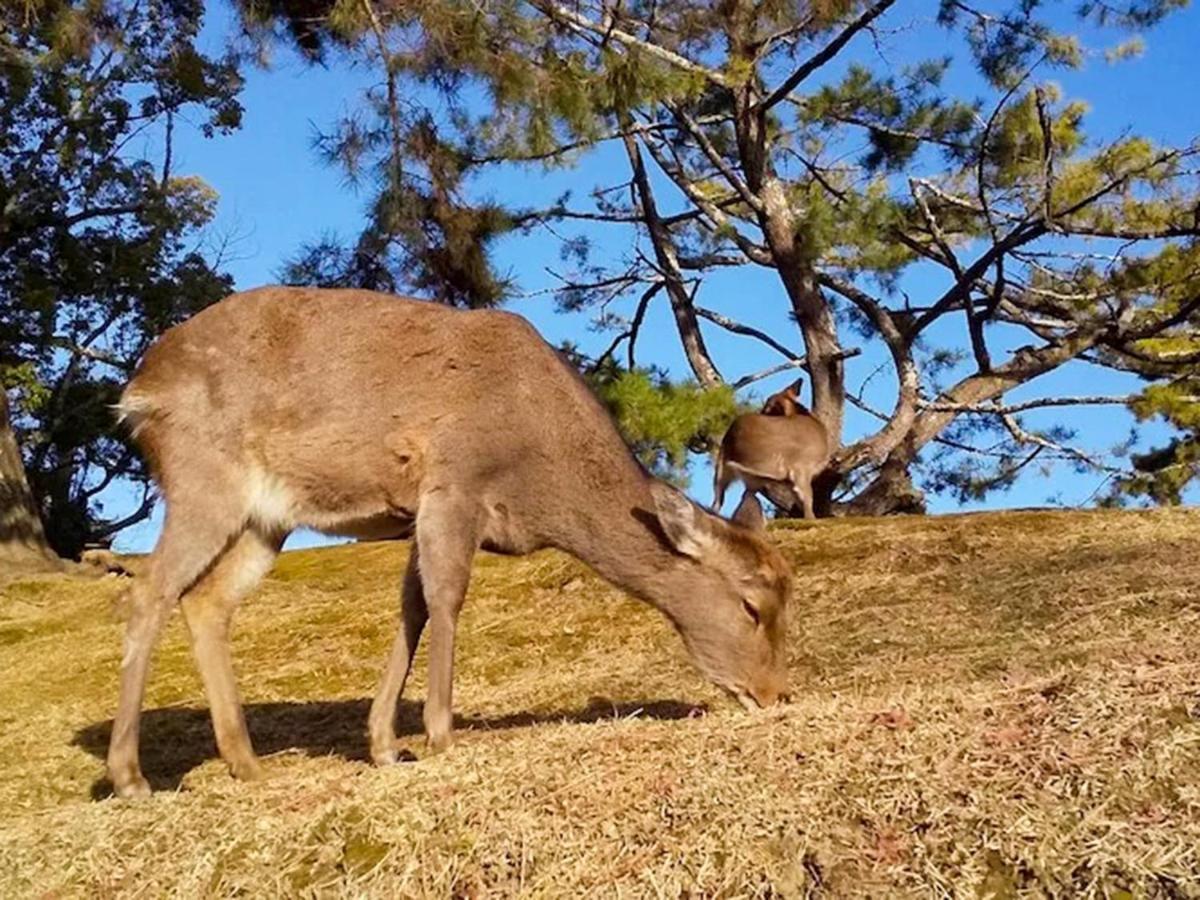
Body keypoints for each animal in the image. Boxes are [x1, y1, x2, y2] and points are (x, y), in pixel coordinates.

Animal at [105, 285, 796, 801]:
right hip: (202, 478)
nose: (773, 694)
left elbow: (410, 607)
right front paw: (441, 734)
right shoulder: (454, 485)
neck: (541, 485)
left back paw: (246, 763)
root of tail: (135, 395)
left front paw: (384, 744)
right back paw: (130, 776)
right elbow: (446, 597)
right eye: (751, 606)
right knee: (149, 588)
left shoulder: (420, 513)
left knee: (206, 600)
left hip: (265, 520)